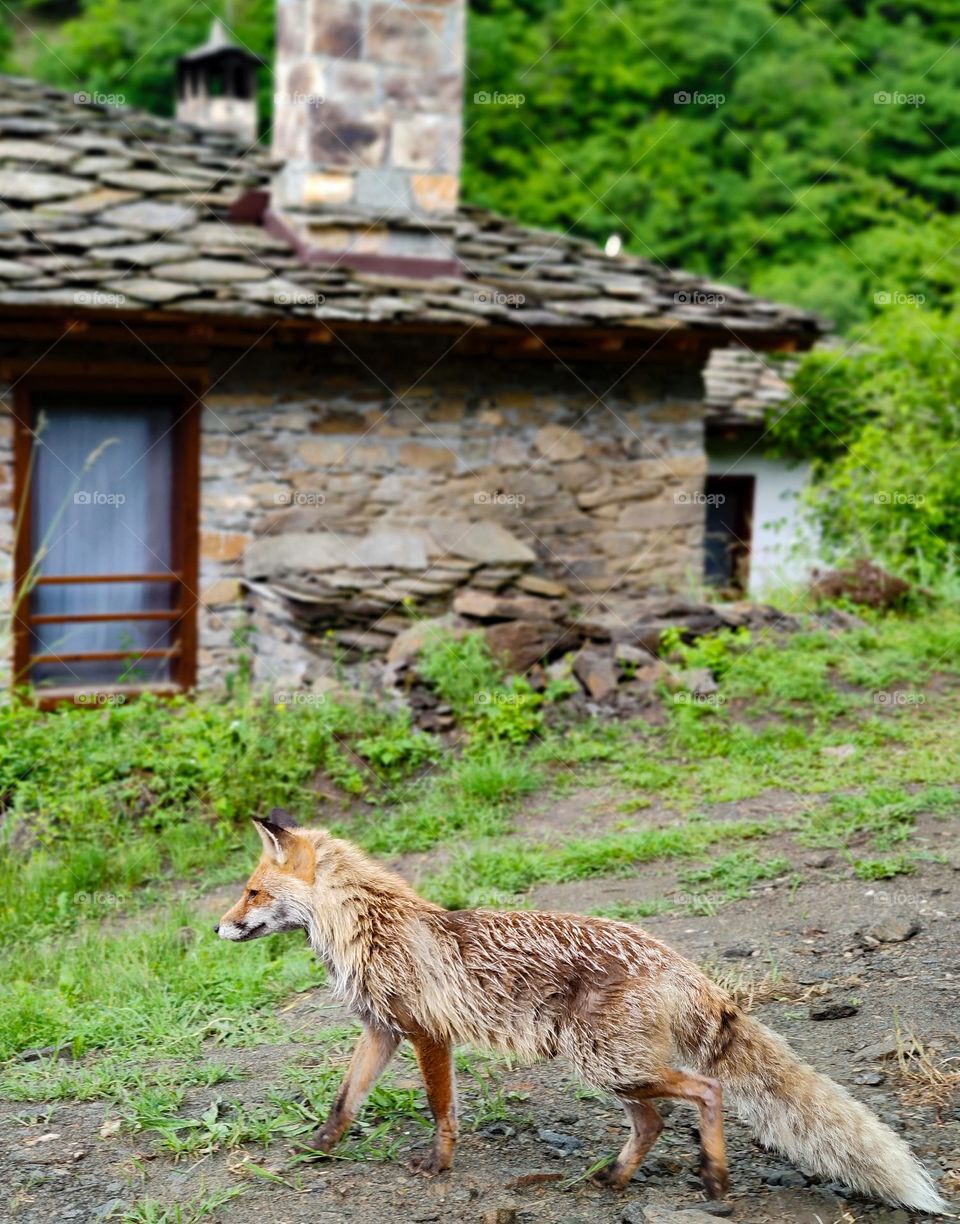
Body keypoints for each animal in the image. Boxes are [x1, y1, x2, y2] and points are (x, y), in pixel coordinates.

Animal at [216, 810, 947, 1213]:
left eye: (250, 891)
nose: (217, 929)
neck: (368, 927)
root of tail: (673, 957)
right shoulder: (381, 1032)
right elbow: (344, 1102)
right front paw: (317, 1150)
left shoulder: (427, 1034)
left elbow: (441, 1110)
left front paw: (439, 1167)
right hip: (610, 1068)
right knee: (654, 1121)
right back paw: (614, 1180)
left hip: (609, 1063)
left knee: (704, 1091)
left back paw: (714, 1178)